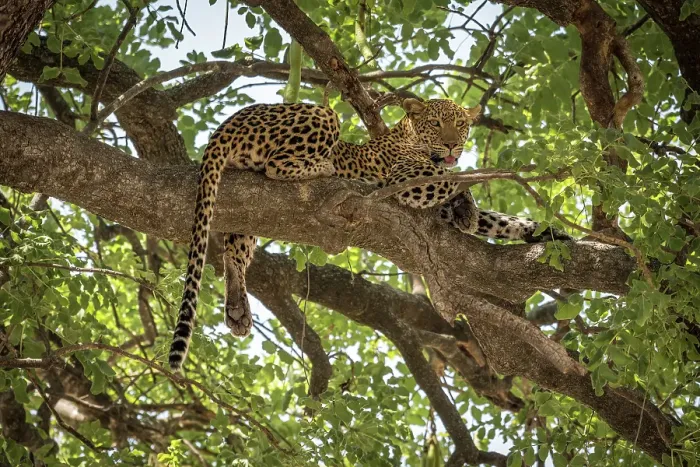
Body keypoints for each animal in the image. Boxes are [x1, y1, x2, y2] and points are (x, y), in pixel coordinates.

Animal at [168, 98, 570, 371]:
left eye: (460, 124)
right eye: (436, 123)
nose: (453, 144)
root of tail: (226, 124)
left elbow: (496, 218)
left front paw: (542, 232)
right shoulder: (407, 180)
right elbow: (454, 177)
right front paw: (469, 199)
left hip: (249, 208)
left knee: (234, 252)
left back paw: (237, 307)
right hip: (321, 118)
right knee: (277, 166)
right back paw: (326, 167)